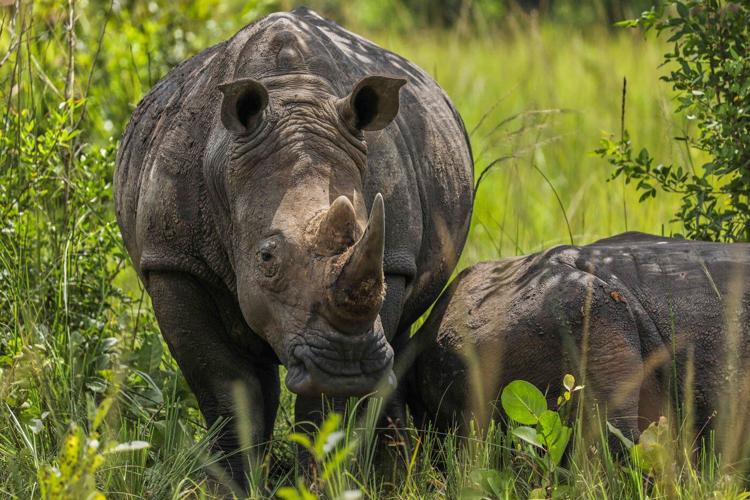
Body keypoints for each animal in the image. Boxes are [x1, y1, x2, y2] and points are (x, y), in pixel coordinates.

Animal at [114, 7, 473, 484]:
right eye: (266, 257)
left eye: (368, 239)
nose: (348, 364)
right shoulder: (173, 260)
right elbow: (225, 385)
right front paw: (233, 486)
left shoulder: (392, 261)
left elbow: (324, 407)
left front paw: (314, 483)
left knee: (395, 344)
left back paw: (390, 476)